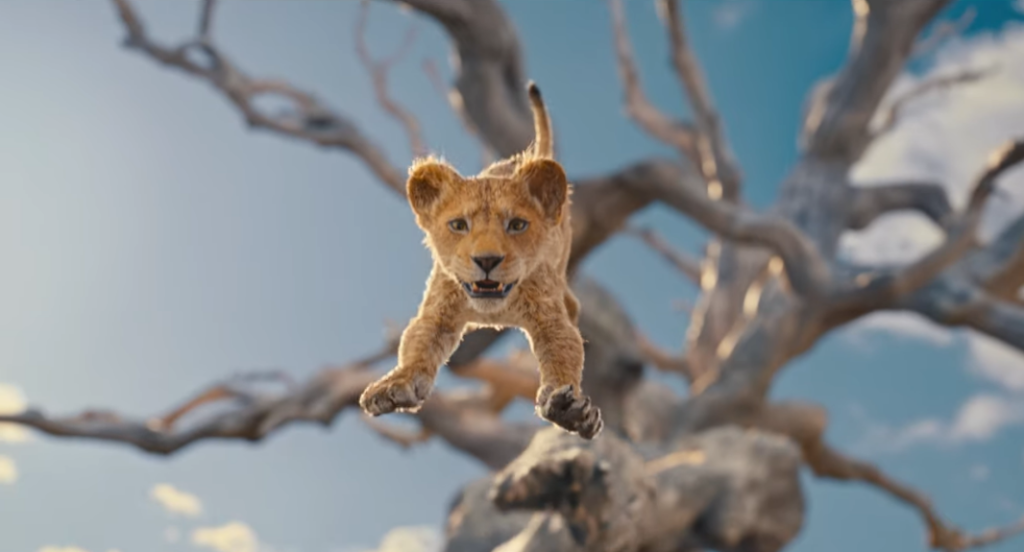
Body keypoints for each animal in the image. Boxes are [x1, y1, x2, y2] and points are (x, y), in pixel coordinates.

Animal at [358, 82, 603, 440]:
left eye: (517, 225)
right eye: (459, 225)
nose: (487, 260)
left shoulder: (549, 316)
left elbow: (564, 351)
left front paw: (568, 409)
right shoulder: (439, 310)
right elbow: (417, 344)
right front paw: (396, 385)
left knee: (571, 304)